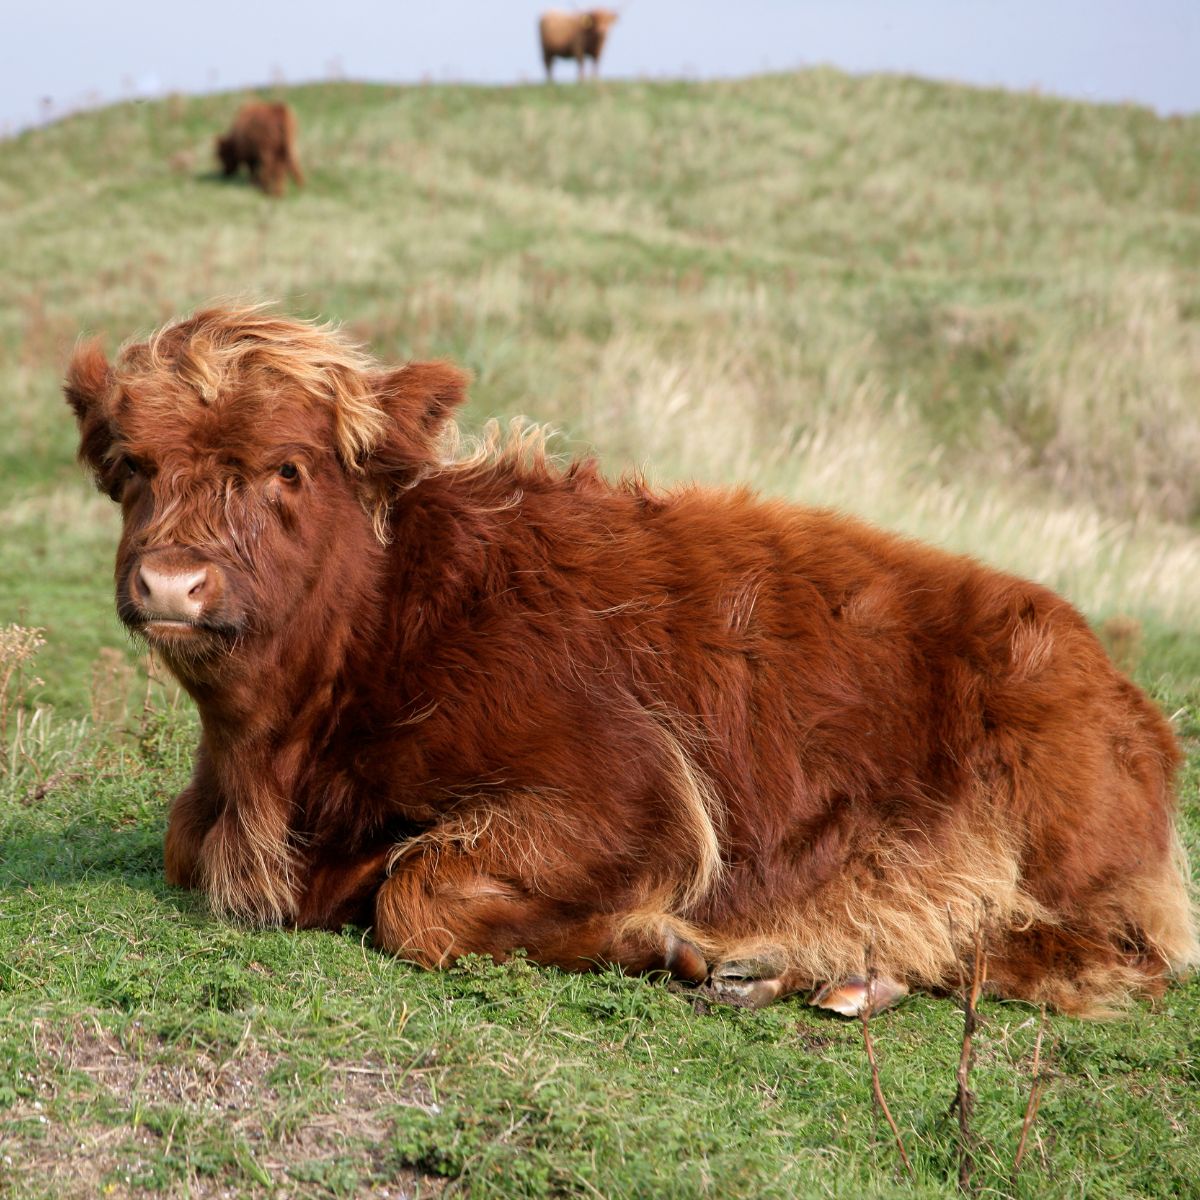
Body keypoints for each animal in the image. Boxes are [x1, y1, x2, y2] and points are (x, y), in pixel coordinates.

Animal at [68, 304, 1200, 1017]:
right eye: (133, 466)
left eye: (288, 468)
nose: (172, 583)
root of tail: (1108, 670)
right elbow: (190, 844)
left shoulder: (631, 794)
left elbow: (417, 895)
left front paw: (664, 944)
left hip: (1073, 847)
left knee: (1109, 954)